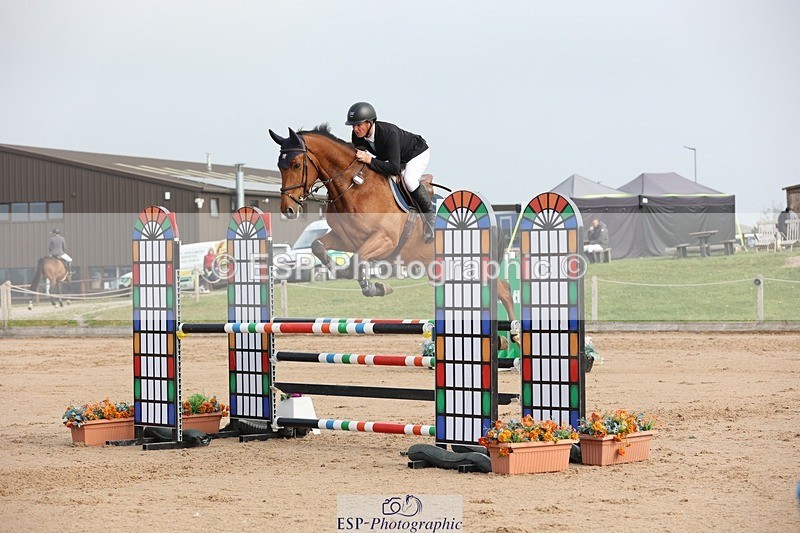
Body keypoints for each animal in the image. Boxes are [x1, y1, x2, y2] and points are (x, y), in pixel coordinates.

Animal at [268, 125, 517, 337]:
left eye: (296, 165)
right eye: (279, 165)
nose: (288, 209)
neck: (354, 185)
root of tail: (492, 218)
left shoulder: (384, 240)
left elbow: (357, 260)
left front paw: (376, 287)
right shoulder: (345, 239)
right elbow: (318, 247)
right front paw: (341, 271)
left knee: (504, 290)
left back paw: (513, 334)